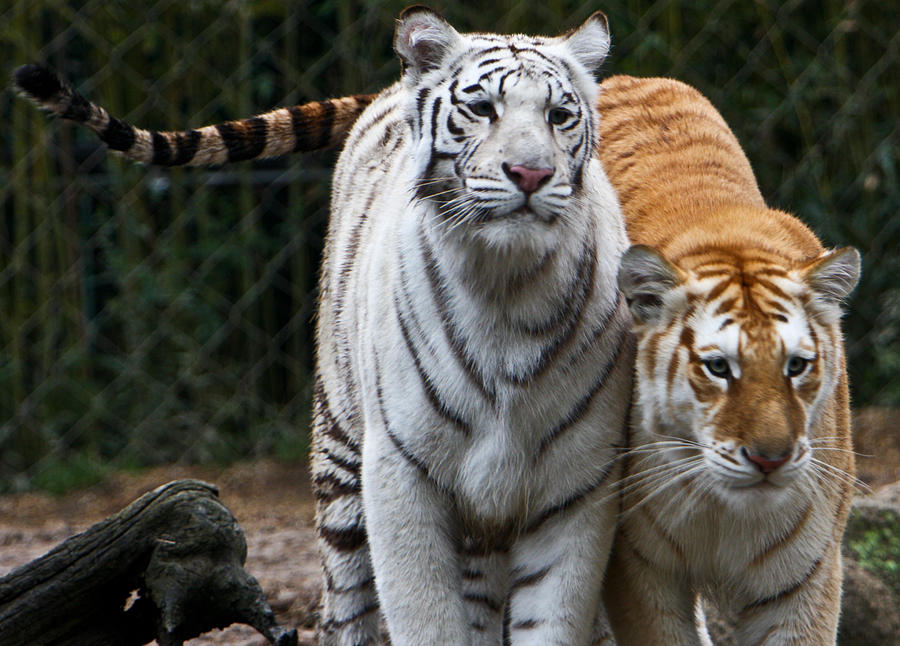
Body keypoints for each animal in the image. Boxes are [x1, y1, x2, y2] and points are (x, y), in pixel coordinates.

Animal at [596, 73, 856, 644]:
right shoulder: (641, 568)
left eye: (796, 366)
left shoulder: (807, 577)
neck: (725, 510)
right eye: (718, 368)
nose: (770, 459)